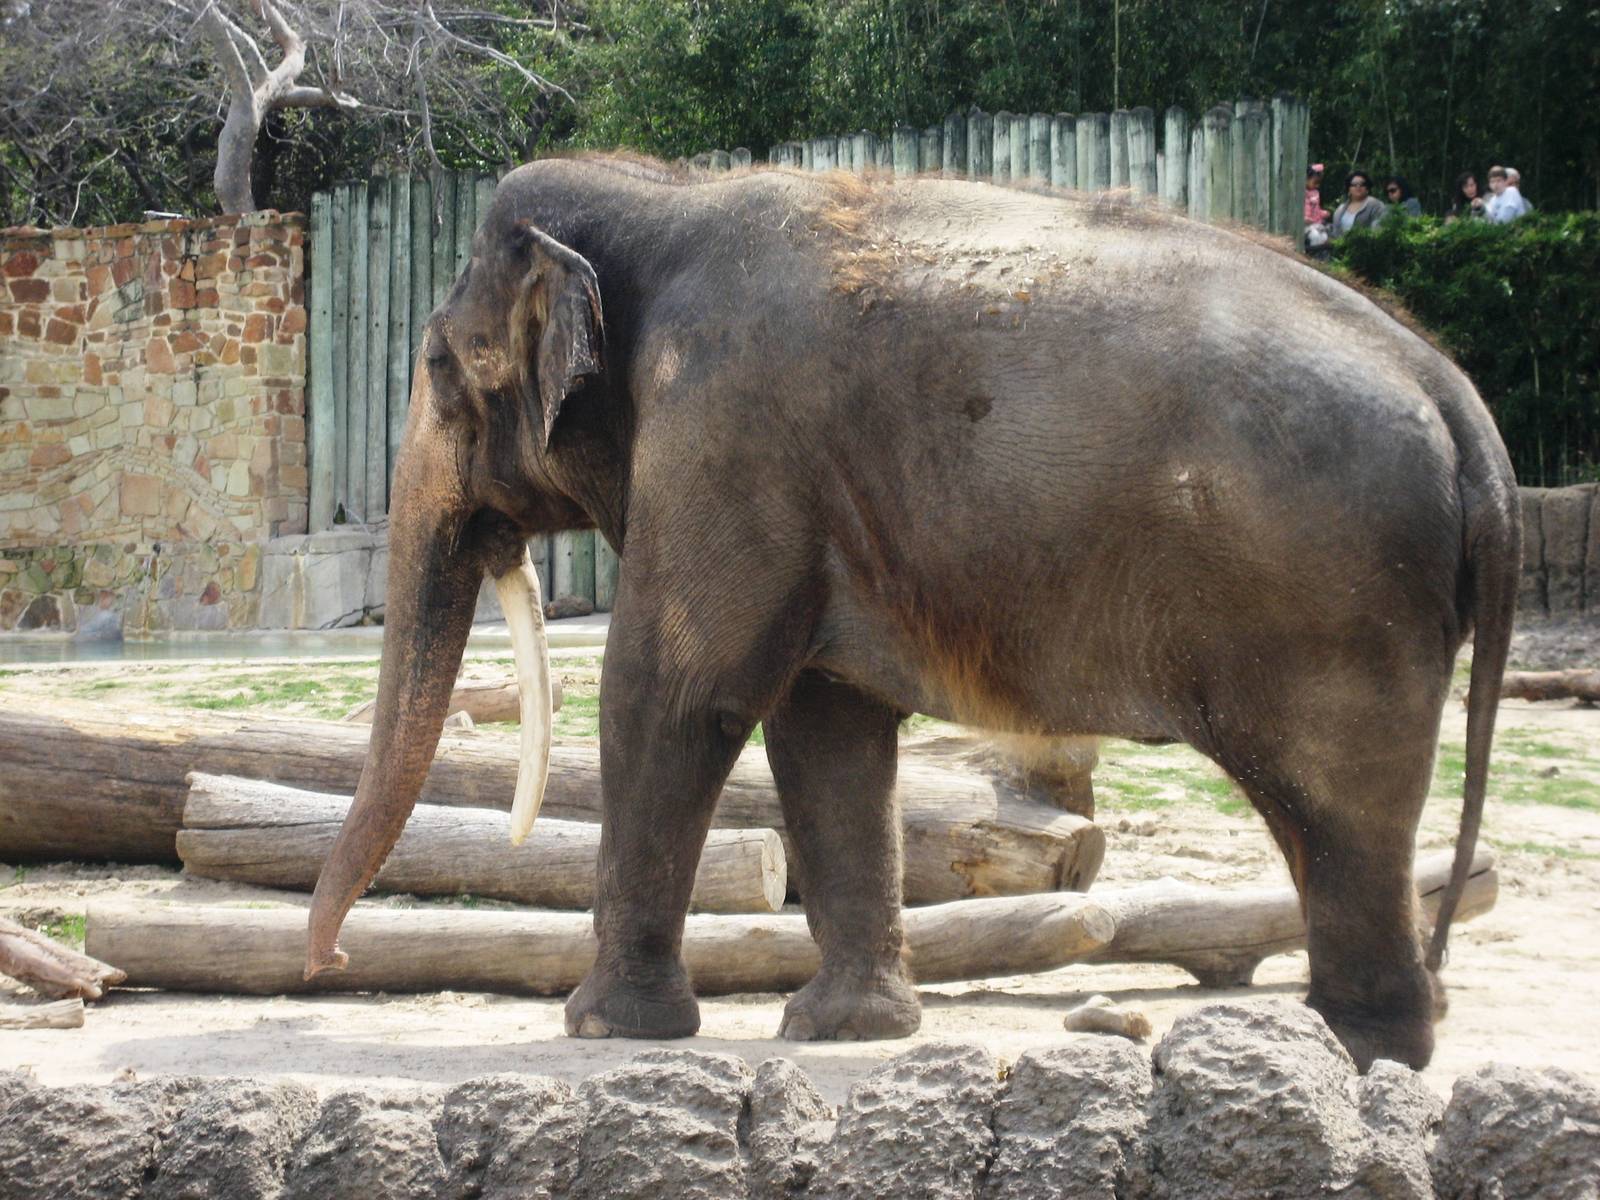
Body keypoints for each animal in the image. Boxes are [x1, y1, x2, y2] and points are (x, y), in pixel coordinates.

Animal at [304, 155, 1520, 1072]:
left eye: (437, 367)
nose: (335, 968)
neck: (665, 193)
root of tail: (1461, 404)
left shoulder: (724, 435)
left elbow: (676, 694)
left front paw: (605, 1029)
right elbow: (825, 724)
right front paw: (842, 1031)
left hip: (1336, 604)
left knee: (1337, 808)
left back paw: (1352, 1053)